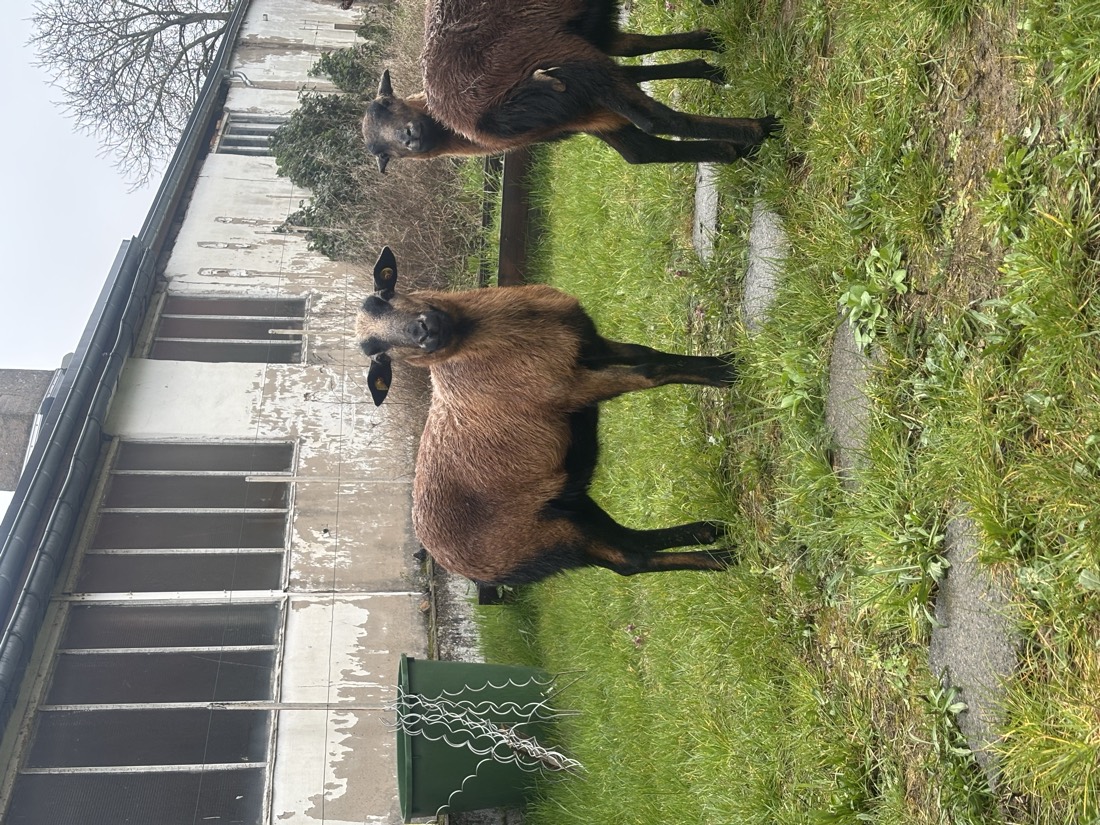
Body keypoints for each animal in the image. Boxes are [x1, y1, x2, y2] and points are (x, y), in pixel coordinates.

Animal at [357, 247, 737, 585]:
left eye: (385, 294)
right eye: (379, 355)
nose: (425, 332)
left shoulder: (589, 346)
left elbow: (649, 354)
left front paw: (724, 360)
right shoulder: (572, 387)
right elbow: (651, 372)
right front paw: (727, 373)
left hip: (564, 504)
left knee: (627, 539)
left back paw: (709, 531)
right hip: (545, 539)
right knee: (629, 560)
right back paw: (723, 557)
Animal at [361, 0, 779, 172]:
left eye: (389, 104)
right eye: (381, 153)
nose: (411, 138)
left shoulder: (585, 105)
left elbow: (638, 52)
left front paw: (710, 56)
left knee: (645, 138)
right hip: (564, 62)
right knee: (653, 120)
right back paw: (757, 129)